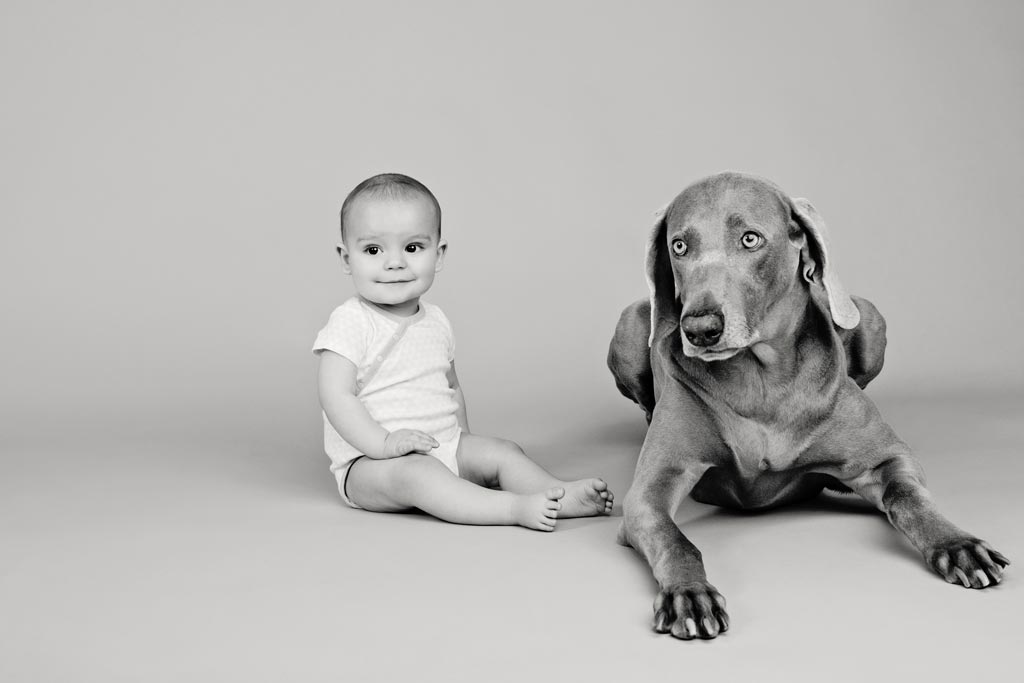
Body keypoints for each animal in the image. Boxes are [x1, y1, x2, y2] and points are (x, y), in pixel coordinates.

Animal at [606, 171, 1007, 643]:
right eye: (679, 246)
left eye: (750, 239)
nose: (699, 329)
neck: (760, 380)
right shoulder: (647, 495)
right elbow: (674, 538)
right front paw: (689, 593)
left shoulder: (890, 458)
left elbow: (909, 498)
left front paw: (956, 544)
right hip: (631, 324)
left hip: (870, 318)